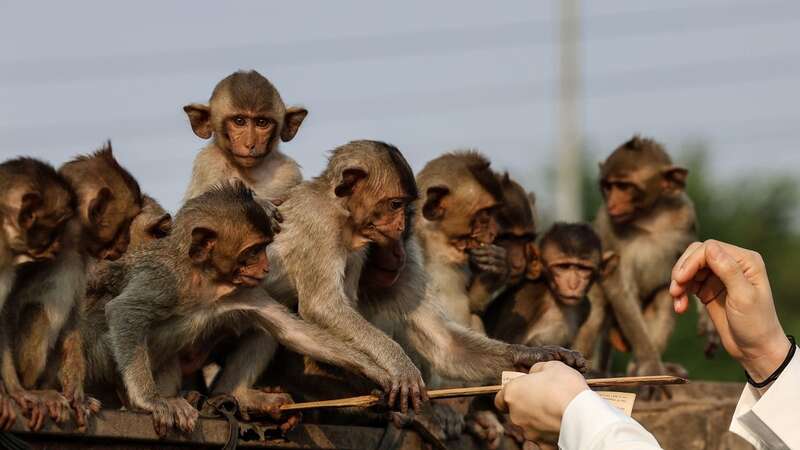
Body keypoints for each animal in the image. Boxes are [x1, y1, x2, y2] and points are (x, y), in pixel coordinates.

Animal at [87, 181, 396, 438]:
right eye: (253, 251)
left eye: (264, 248)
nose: (265, 267)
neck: (206, 279)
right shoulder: (164, 278)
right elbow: (124, 310)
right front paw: (150, 401)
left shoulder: (247, 291)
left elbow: (295, 333)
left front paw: (381, 369)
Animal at [183, 70, 308, 204]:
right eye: (239, 121)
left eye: (262, 122)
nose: (250, 144)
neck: (249, 172)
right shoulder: (209, 163)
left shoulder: (290, 172)